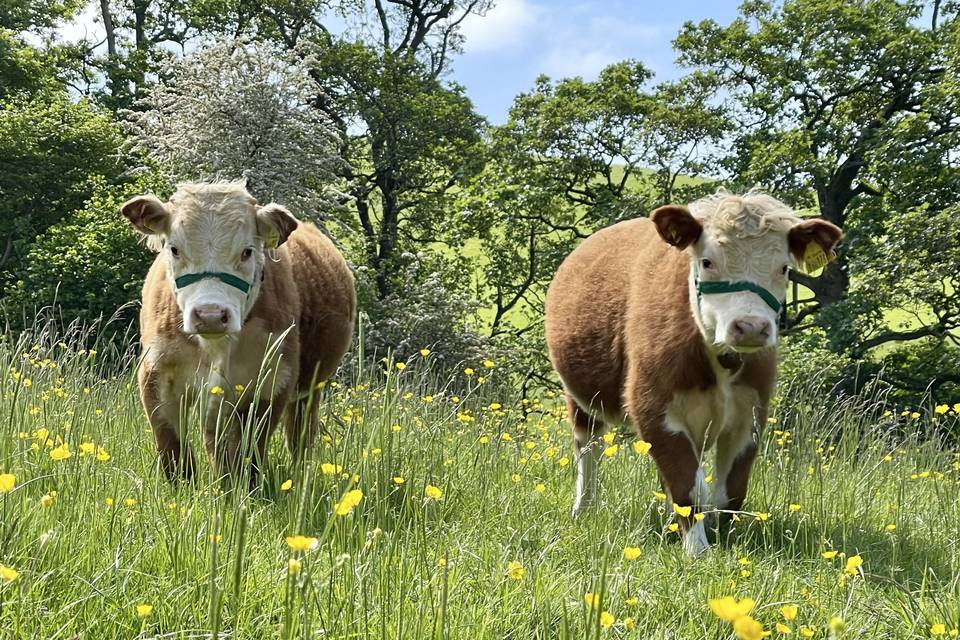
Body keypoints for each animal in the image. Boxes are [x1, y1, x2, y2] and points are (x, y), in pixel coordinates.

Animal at [123, 181, 356, 484]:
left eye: (247, 251)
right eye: (174, 249)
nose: (210, 315)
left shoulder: (273, 381)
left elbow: (249, 453)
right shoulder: (156, 375)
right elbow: (174, 452)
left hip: (311, 387)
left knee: (299, 437)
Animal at [548, 189, 840, 556]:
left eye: (784, 268)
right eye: (707, 261)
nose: (750, 327)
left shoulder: (751, 413)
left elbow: (730, 491)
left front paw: (726, 540)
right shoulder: (653, 407)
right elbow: (689, 485)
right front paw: (698, 550)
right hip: (581, 398)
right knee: (589, 450)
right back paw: (584, 509)